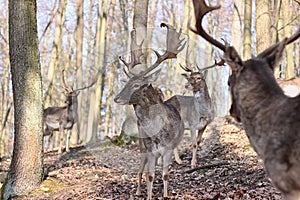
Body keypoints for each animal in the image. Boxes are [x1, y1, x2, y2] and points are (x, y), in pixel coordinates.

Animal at [114, 23, 185, 200]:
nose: (116, 98)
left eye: (136, 85)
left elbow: (165, 175)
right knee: (142, 171)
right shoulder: (150, 151)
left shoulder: (167, 150)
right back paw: (139, 190)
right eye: (126, 82)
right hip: (142, 148)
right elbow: (151, 176)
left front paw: (166, 195)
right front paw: (148, 196)